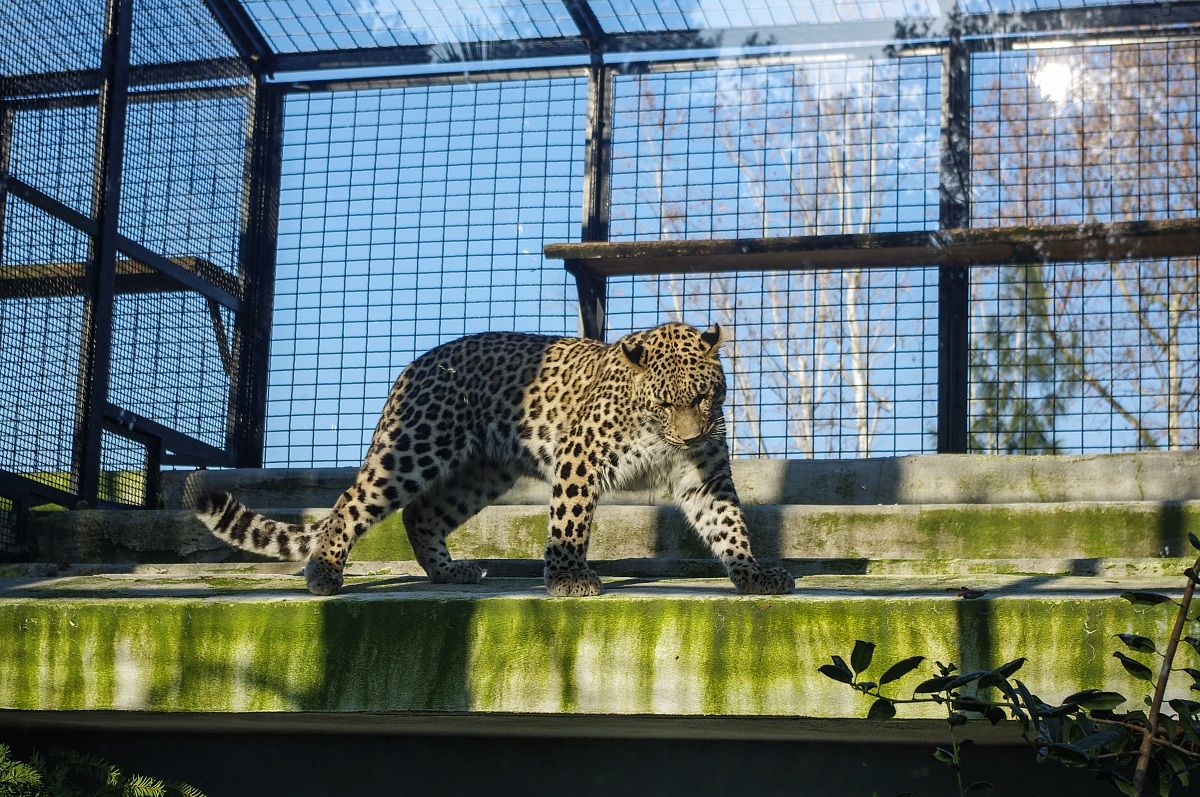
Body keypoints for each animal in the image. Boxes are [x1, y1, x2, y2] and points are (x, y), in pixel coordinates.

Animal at [195, 321, 795, 598]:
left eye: (705, 396)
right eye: (665, 403)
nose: (692, 435)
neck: (659, 435)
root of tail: (413, 365)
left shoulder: (705, 476)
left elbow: (728, 525)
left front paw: (753, 572)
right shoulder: (580, 457)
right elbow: (570, 523)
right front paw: (568, 578)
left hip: (480, 472)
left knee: (421, 514)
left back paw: (449, 571)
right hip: (415, 445)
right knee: (351, 501)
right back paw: (323, 572)